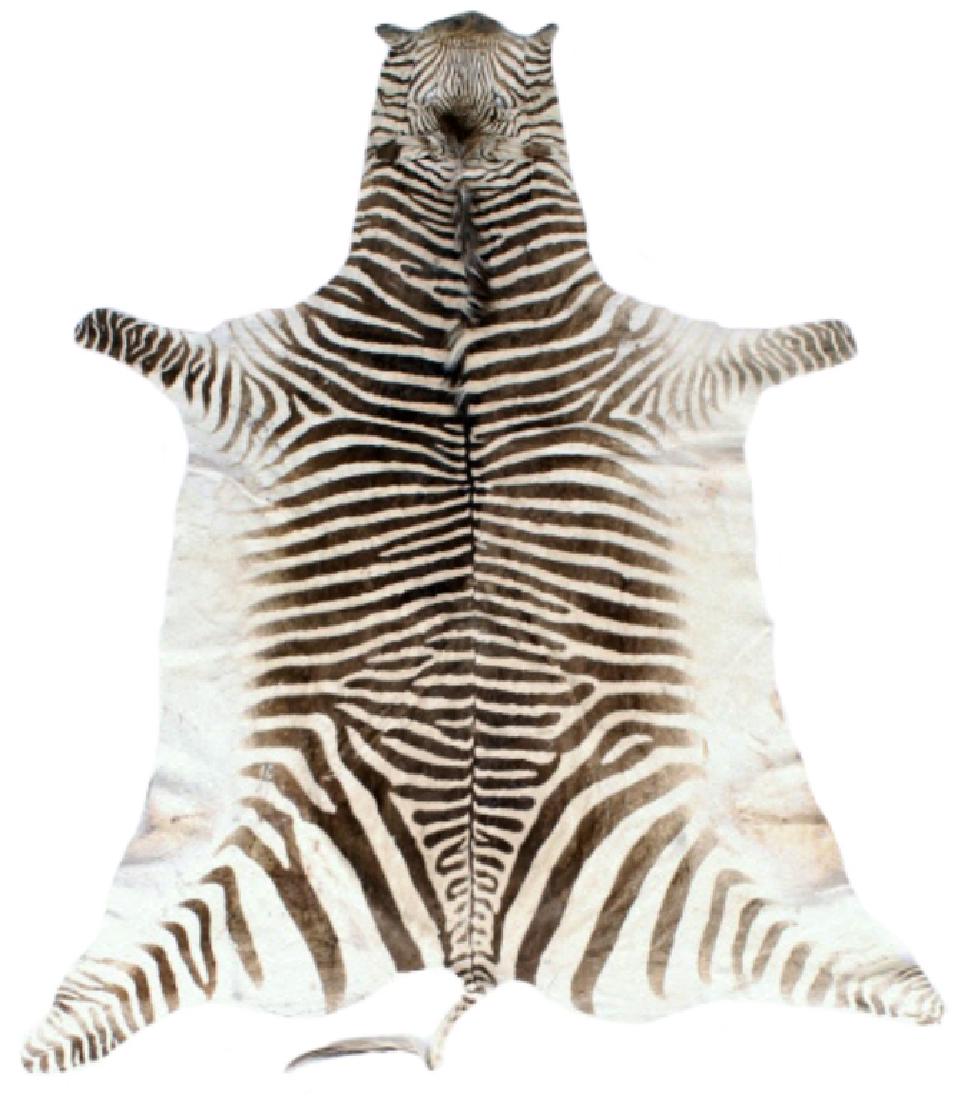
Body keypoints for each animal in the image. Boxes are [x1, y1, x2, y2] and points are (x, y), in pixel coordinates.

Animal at [22, 10, 942, 1075]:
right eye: (410, 54)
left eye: (510, 56)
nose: (465, 18)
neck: (463, 241)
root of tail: (471, 936)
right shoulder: (249, 378)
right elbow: (138, 335)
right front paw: (89, 321)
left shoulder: (683, 371)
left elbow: (795, 341)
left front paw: (841, 333)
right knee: (126, 978)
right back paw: (52, 1037)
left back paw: (915, 997)